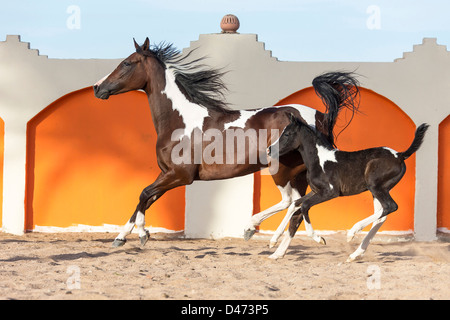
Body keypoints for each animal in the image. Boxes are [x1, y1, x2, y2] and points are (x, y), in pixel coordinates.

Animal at [93, 37, 360, 248]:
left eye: (127, 63)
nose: (97, 87)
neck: (180, 120)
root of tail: (319, 116)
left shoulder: (180, 175)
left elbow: (143, 193)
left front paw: (140, 234)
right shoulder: (166, 174)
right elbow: (145, 199)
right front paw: (123, 236)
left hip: (282, 168)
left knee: (290, 200)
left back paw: (252, 228)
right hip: (299, 171)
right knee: (299, 200)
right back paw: (288, 239)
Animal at [268, 114, 428, 262]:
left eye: (287, 134)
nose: (269, 150)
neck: (319, 160)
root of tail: (400, 155)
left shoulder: (330, 192)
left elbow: (304, 206)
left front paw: (319, 239)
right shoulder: (316, 191)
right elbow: (295, 205)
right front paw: (273, 241)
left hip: (375, 186)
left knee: (390, 206)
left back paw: (352, 233)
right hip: (378, 190)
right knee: (382, 215)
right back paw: (355, 254)